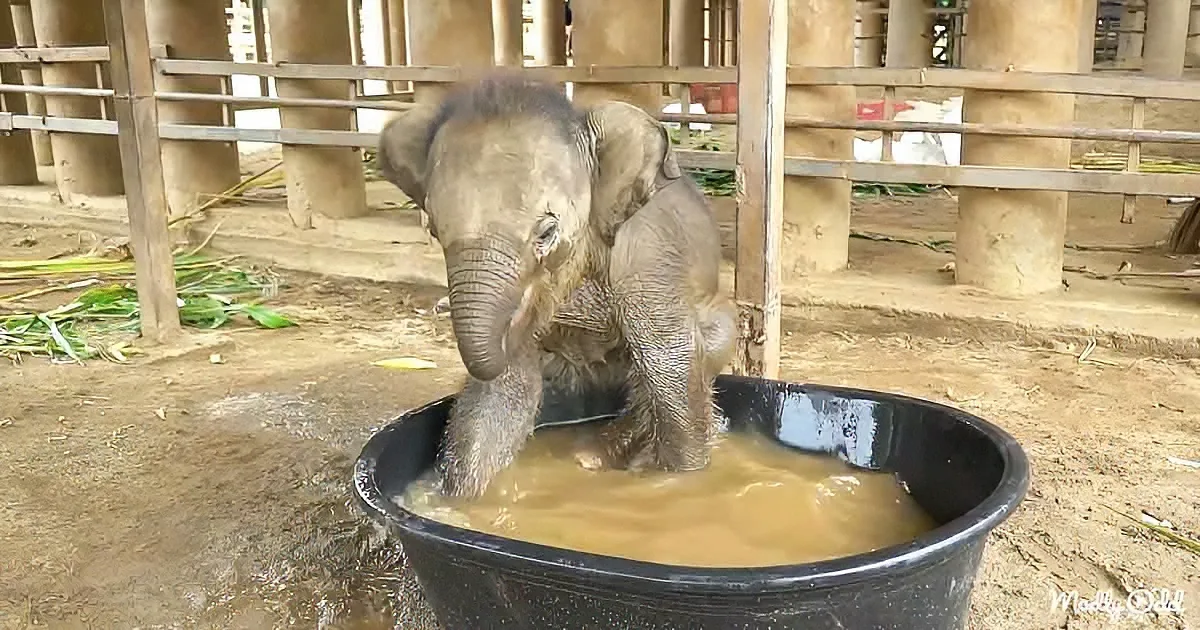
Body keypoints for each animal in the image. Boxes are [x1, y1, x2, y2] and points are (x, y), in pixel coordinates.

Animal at [376, 76, 736, 498]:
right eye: (433, 229)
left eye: (547, 231)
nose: (439, 307)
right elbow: (507, 387)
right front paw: (461, 501)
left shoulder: (648, 253)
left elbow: (670, 363)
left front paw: (682, 482)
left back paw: (594, 457)